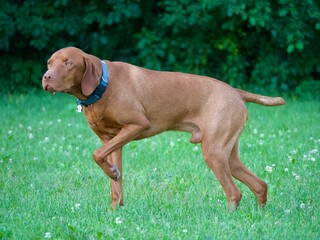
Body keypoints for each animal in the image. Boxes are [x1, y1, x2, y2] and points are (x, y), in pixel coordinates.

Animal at [42, 46, 284, 210]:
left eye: (68, 63)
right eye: (49, 63)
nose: (46, 77)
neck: (103, 84)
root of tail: (235, 91)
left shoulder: (137, 125)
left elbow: (96, 155)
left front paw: (111, 174)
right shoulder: (112, 141)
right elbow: (114, 183)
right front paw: (115, 210)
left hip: (214, 153)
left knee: (235, 193)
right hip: (227, 155)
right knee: (260, 184)